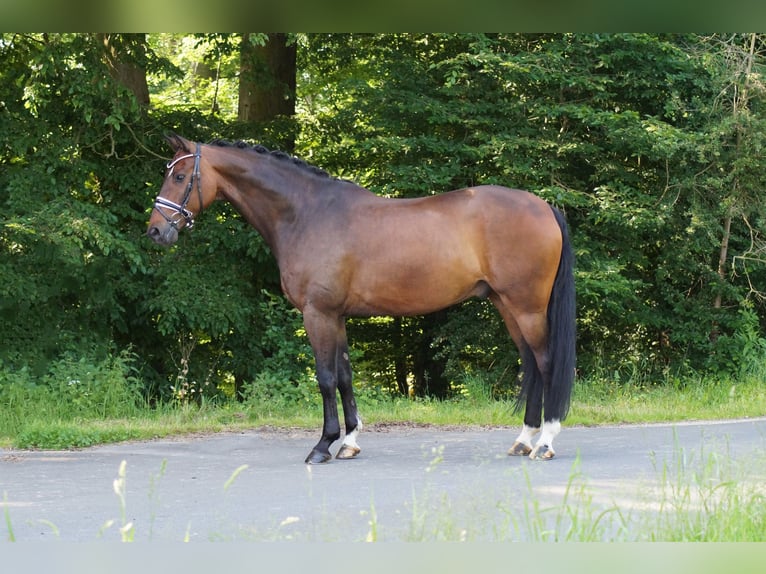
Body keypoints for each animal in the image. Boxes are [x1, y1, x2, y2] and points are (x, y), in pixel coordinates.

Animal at [147, 134, 576, 464]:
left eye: (181, 176)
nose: (155, 232)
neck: (307, 214)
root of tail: (544, 206)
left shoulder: (317, 314)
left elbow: (325, 378)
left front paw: (322, 446)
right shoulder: (335, 316)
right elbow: (345, 376)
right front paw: (349, 442)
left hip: (527, 307)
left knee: (546, 364)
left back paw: (546, 443)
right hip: (506, 305)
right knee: (531, 364)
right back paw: (524, 440)